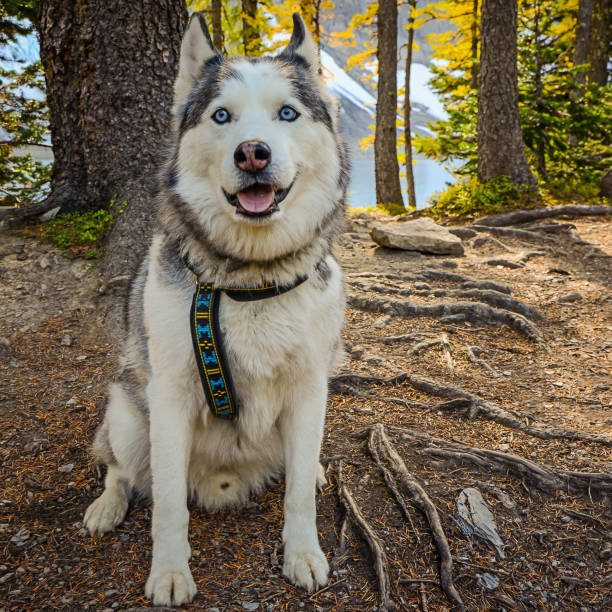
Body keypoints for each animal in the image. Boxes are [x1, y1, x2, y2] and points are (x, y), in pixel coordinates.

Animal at [81, 11, 350, 604]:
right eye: (221, 115)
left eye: (287, 113)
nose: (252, 152)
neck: (250, 278)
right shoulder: (171, 395)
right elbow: (167, 506)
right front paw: (169, 572)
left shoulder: (309, 386)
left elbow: (298, 493)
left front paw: (303, 553)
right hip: (128, 412)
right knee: (120, 469)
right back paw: (107, 505)